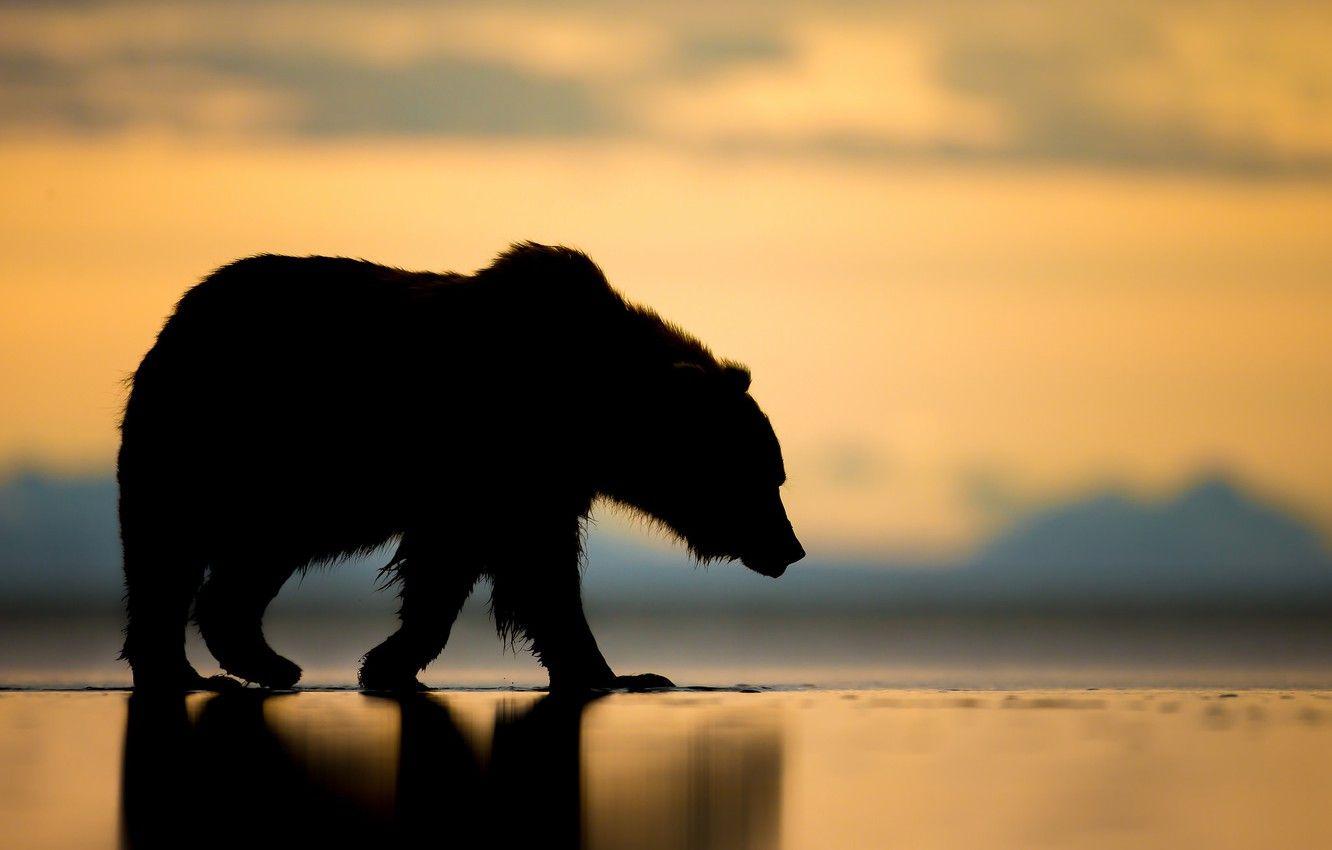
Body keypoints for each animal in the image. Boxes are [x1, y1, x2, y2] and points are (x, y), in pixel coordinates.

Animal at [118, 242, 805, 691]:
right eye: (764, 478)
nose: (791, 549)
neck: (590, 406)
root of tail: (177, 317)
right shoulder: (497, 457)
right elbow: (529, 570)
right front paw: (623, 673)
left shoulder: (526, 480)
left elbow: (467, 568)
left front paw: (388, 662)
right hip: (221, 444)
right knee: (167, 554)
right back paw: (191, 670)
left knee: (241, 563)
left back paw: (260, 660)